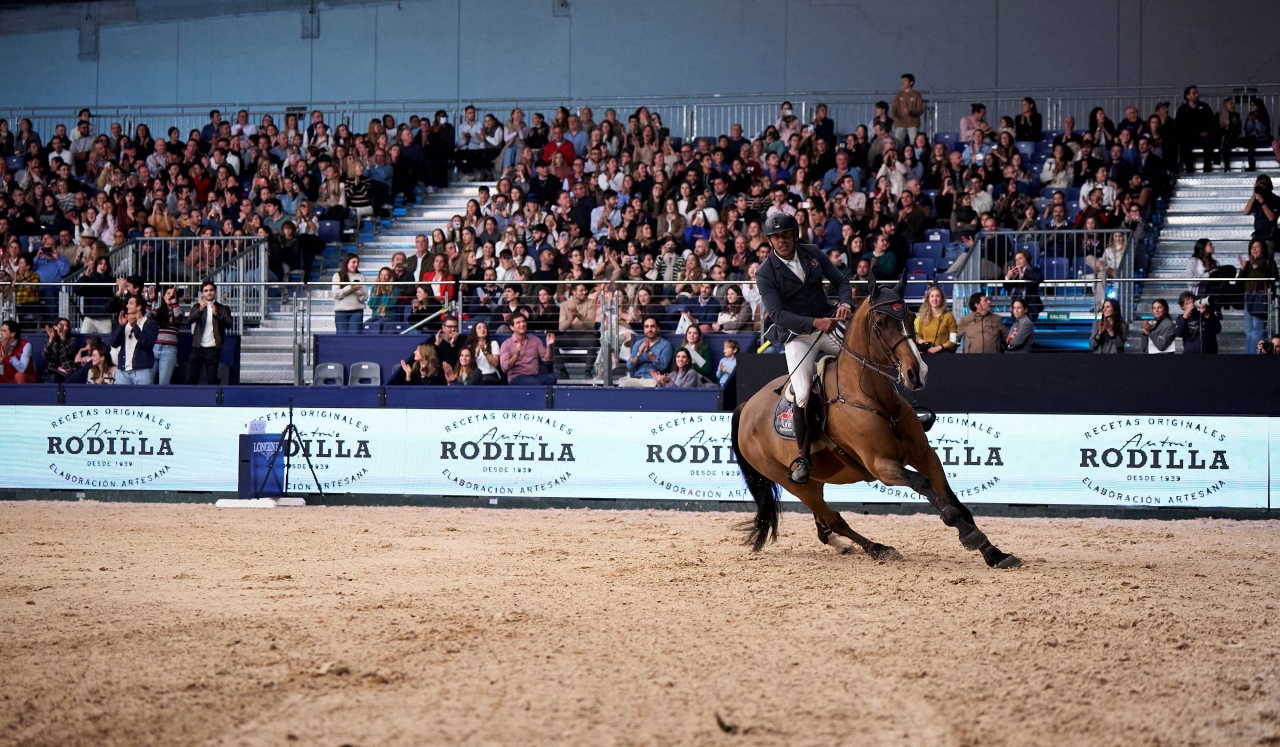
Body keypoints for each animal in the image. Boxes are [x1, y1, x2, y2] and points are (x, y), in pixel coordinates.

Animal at [732, 276, 1018, 573]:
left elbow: (955, 501)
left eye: (912, 317)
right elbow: (926, 487)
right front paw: (968, 534)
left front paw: (994, 552)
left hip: (815, 482)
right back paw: (879, 549)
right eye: (880, 323)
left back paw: (844, 546)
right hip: (794, 484)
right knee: (834, 519)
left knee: (824, 525)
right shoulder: (881, 466)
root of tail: (746, 406)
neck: (873, 398)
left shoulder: (925, 455)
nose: (917, 374)